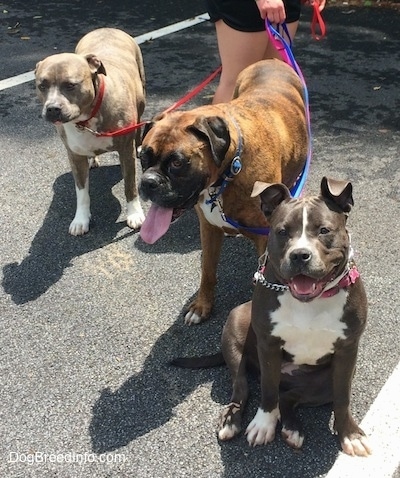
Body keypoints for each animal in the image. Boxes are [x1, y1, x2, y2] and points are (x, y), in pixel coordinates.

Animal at [34, 28, 145, 235]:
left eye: (70, 85)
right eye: (41, 86)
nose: (52, 108)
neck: (85, 118)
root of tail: (106, 28)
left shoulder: (126, 150)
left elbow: (130, 186)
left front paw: (135, 214)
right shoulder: (75, 156)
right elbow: (82, 193)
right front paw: (81, 219)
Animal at [139, 57, 308, 324]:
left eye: (177, 162)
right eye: (142, 157)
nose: (147, 182)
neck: (229, 171)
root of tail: (271, 60)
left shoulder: (264, 241)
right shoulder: (207, 228)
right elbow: (207, 270)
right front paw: (202, 306)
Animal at [173, 177, 374, 458]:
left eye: (324, 230)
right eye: (282, 232)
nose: (300, 255)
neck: (309, 301)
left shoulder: (347, 351)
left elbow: (343, 398)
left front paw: (350, 434)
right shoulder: (268, 345)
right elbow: (267, 389)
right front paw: (263, 424)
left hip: (323, 383)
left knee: (290, 398)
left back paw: (292, 429)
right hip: (236, 329)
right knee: (243, 388)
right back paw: (232, 421)